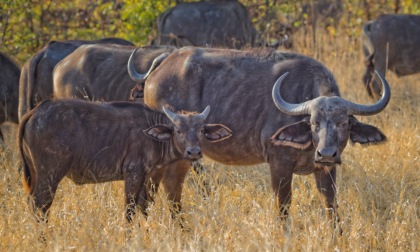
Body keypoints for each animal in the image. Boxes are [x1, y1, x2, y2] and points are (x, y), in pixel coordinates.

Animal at [18, 98, 233, 222]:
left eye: (202, 130)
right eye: (179, 130)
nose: (193, 152)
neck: (152, 135)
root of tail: (35, 112)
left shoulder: (149, 178)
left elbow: (144, 209)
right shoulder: (133, 174)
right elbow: (129, 211)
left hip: (36, 175)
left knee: (33, 204)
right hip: (50, 174)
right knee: (41, 206)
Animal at [128, 45, 390, 228]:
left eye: (344, 123)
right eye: (314, 123)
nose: (326, 153)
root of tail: (163, 63)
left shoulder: (326, 169)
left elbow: (331, 205)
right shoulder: (279, 164)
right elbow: (283, 207)